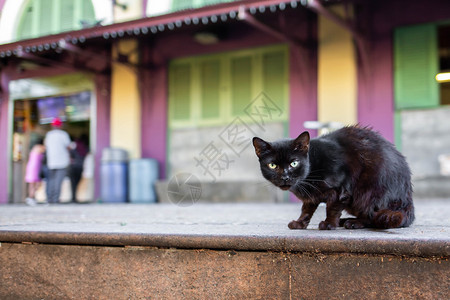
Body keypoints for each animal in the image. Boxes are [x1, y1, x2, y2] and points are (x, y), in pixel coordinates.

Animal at [253, 126, 414, 230]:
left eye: (294, 163)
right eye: (272, 165)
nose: (285, 177)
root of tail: (407, 201)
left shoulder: (341, 189)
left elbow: (332, 208)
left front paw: (329, 224)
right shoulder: (311, 196)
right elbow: (306, 209)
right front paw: (300, 223)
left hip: (369, 191)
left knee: (373, 216)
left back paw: (353, 223)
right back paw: (346, 220)